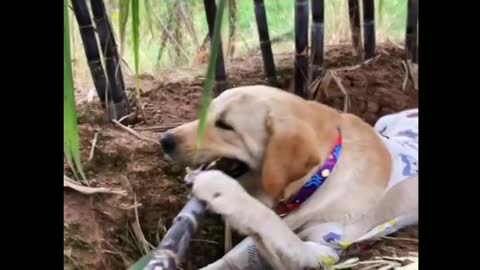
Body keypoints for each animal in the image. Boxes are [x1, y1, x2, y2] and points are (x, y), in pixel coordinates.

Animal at [160, 85, 416, 268]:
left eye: (225, 124)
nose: (165, 140)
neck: (320, 178)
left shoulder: (323, 250)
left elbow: (271, 223)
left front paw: (223, 191)